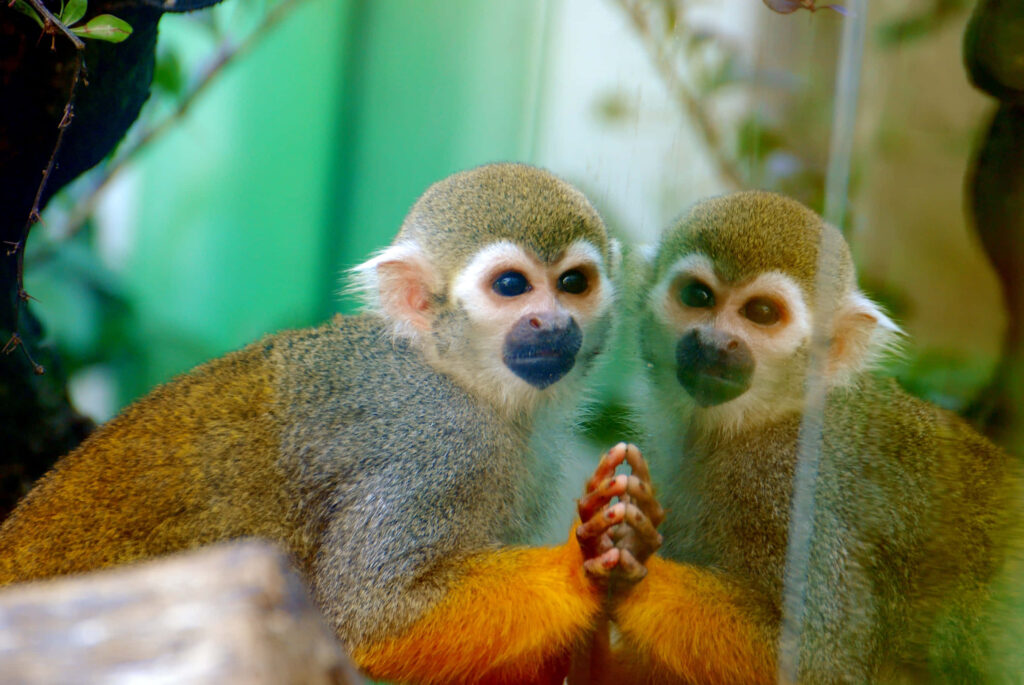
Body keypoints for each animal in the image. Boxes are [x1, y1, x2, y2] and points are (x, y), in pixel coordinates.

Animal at [0, 162, 651, 685]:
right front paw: (579, 571)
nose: (552, 322)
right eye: (512, 286)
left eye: (573, 283)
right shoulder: (433, 447)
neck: (467, 383)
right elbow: (374, 613)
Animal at [589, 190, 1023, 683]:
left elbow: (820, 660)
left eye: (761, 313)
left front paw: (633, 565)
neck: (759, 422)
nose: (715, 343)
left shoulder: (793, 489)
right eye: (698, 296)